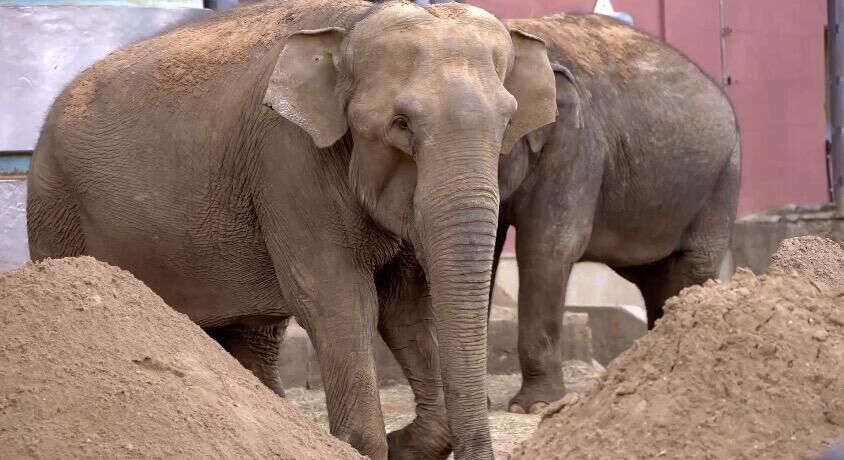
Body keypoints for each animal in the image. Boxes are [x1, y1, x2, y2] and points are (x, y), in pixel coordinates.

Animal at [24, 1, 560, 458]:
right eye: (401, 123)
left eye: (508, 122)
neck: (354, 23)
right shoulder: (288, 159)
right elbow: (339, 300)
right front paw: (364, 444)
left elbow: (406, 308)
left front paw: (401, 442)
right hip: (55, 205)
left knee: (254, 335)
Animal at [492, 14, 740, 414]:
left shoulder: (574, 143)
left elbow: (549, 247)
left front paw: (534, 408)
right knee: (653, 275)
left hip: (723, 176)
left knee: (691, 264)